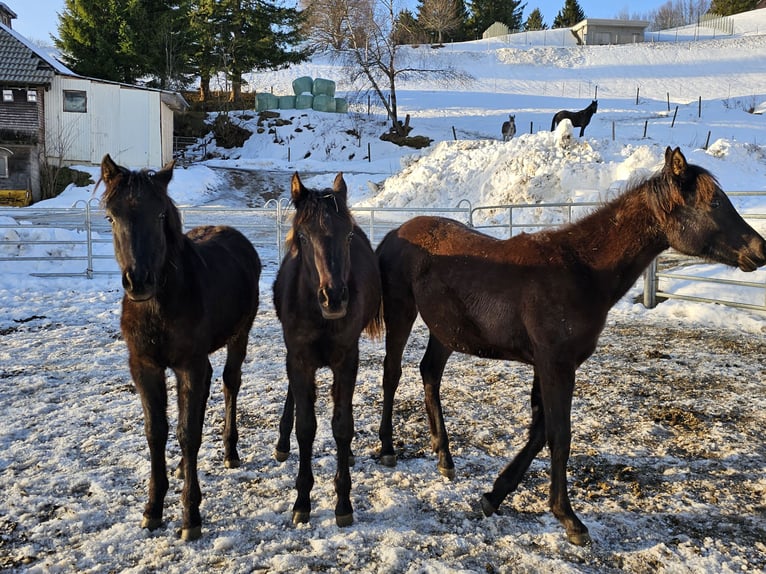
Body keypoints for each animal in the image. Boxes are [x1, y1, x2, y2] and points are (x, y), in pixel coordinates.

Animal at [100, 154, 261, 541]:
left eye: (160, 215)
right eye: (111, 216)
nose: (138, 281)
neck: (159, 306)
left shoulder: (189, 363)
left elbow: (188, 434)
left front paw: (191, 516)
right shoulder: (145, 366)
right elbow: (156, 432)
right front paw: (153, 508)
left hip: (239, 336)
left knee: (230, 383)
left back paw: (230, 451)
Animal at [272, 172, 382, 527]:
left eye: (347, 235)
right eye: (304, 236)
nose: (333, 298)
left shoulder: (346, 360)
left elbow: (342, 426)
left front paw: (343, 502)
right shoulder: (299, 359)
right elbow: (306, 426)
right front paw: (302, 500)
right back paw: (281, 443)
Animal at [375, 146, 766, 545]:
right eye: (714, 202)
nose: (760, 249)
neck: (582, 269)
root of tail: (396, 232)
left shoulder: (549, 365)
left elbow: (539, 432)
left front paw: (493, 495)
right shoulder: (555, 365)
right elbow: (559, 436)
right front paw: (569, 518)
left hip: (446, 332)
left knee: (429, 374)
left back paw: (445, 458)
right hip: (401, 313)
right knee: (392, 374)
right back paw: (388, 449)